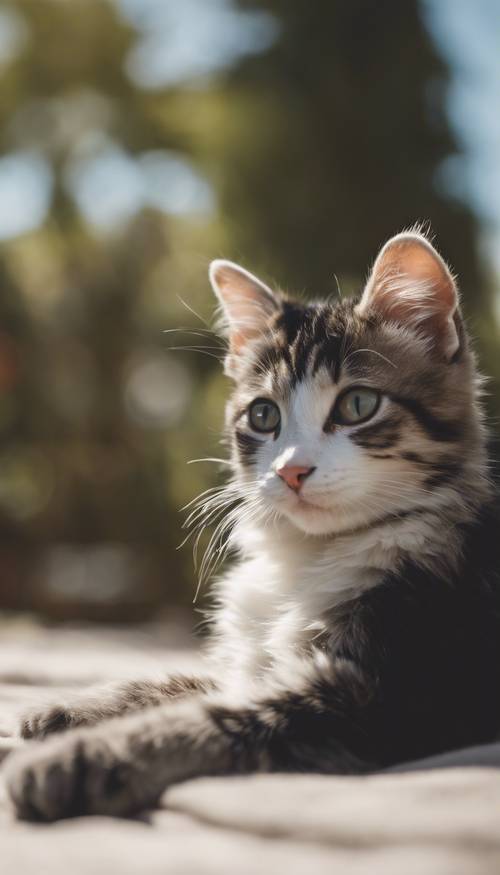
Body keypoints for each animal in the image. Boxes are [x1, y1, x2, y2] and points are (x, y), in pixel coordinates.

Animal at [4, 231, 500, 820]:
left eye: (358, 404)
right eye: (264, 416)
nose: (290, 470)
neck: (309, 556)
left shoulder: (394, 696)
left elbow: (219, 721)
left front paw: (77, 758)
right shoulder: (255, 668)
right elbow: (184, 683)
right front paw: (70, 709)